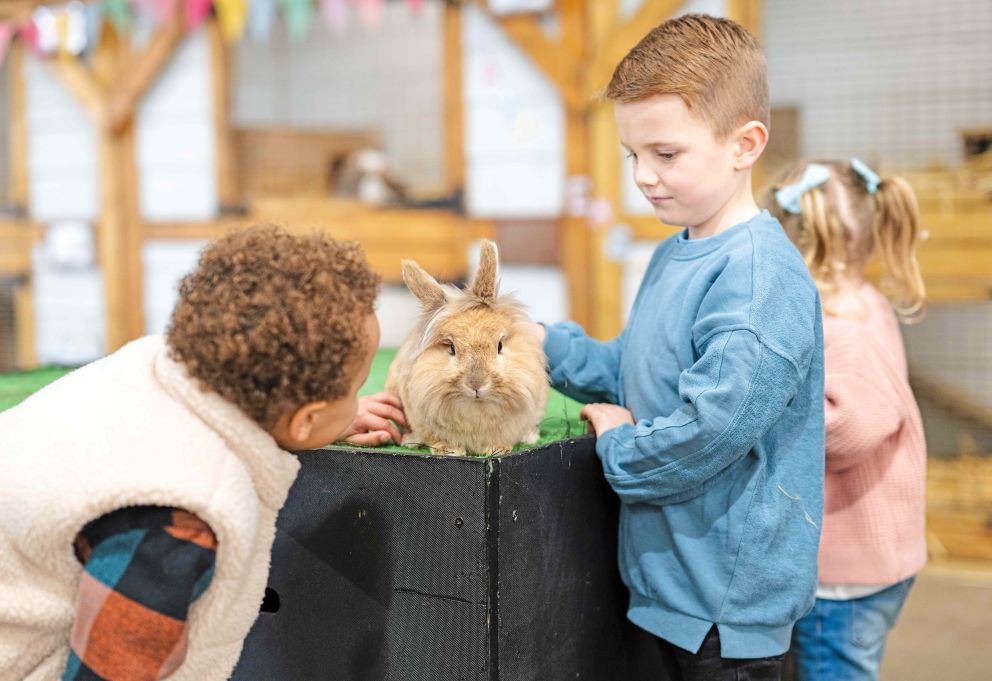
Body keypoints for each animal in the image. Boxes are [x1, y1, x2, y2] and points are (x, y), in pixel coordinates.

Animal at [384, 240, 548, 456]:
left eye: (500, 345)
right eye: (451, 347)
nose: (476, 384)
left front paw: (497, 450)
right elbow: (436, 438)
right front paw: (450, 451)